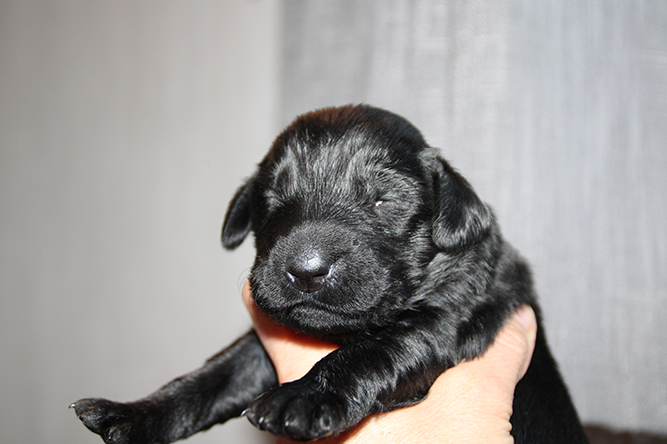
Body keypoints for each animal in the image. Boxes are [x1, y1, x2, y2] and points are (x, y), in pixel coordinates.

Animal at [73, 105, 588, 443]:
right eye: (271, 198)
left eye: (384, 200)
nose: (306, 270)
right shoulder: (262, 343)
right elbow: (219, 372)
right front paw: (134, 414)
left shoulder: (453, 314)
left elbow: (376, 348)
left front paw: (304, 397)